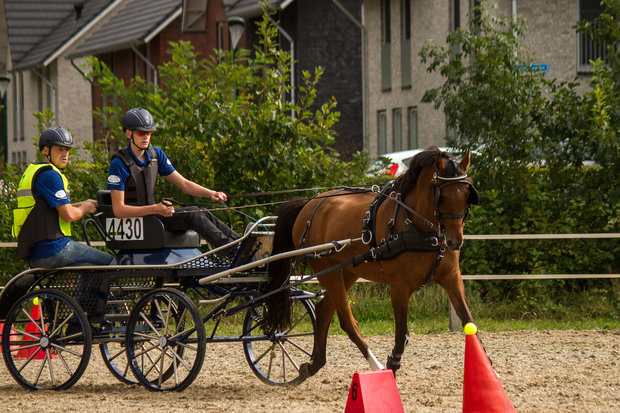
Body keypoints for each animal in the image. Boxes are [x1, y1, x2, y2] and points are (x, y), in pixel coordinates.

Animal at [266, 146, 480, 384]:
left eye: (466, 195)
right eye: (441, 196)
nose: (455, 241)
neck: (417, 227)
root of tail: (310, 204)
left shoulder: (452, 277)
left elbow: (470, 323)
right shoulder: (399, 287)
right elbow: (401, 334)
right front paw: (391, 369)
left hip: (346, 272)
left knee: (323, 312)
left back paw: (313, 365)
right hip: (326, 271)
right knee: (347, 321)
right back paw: (374, 365)